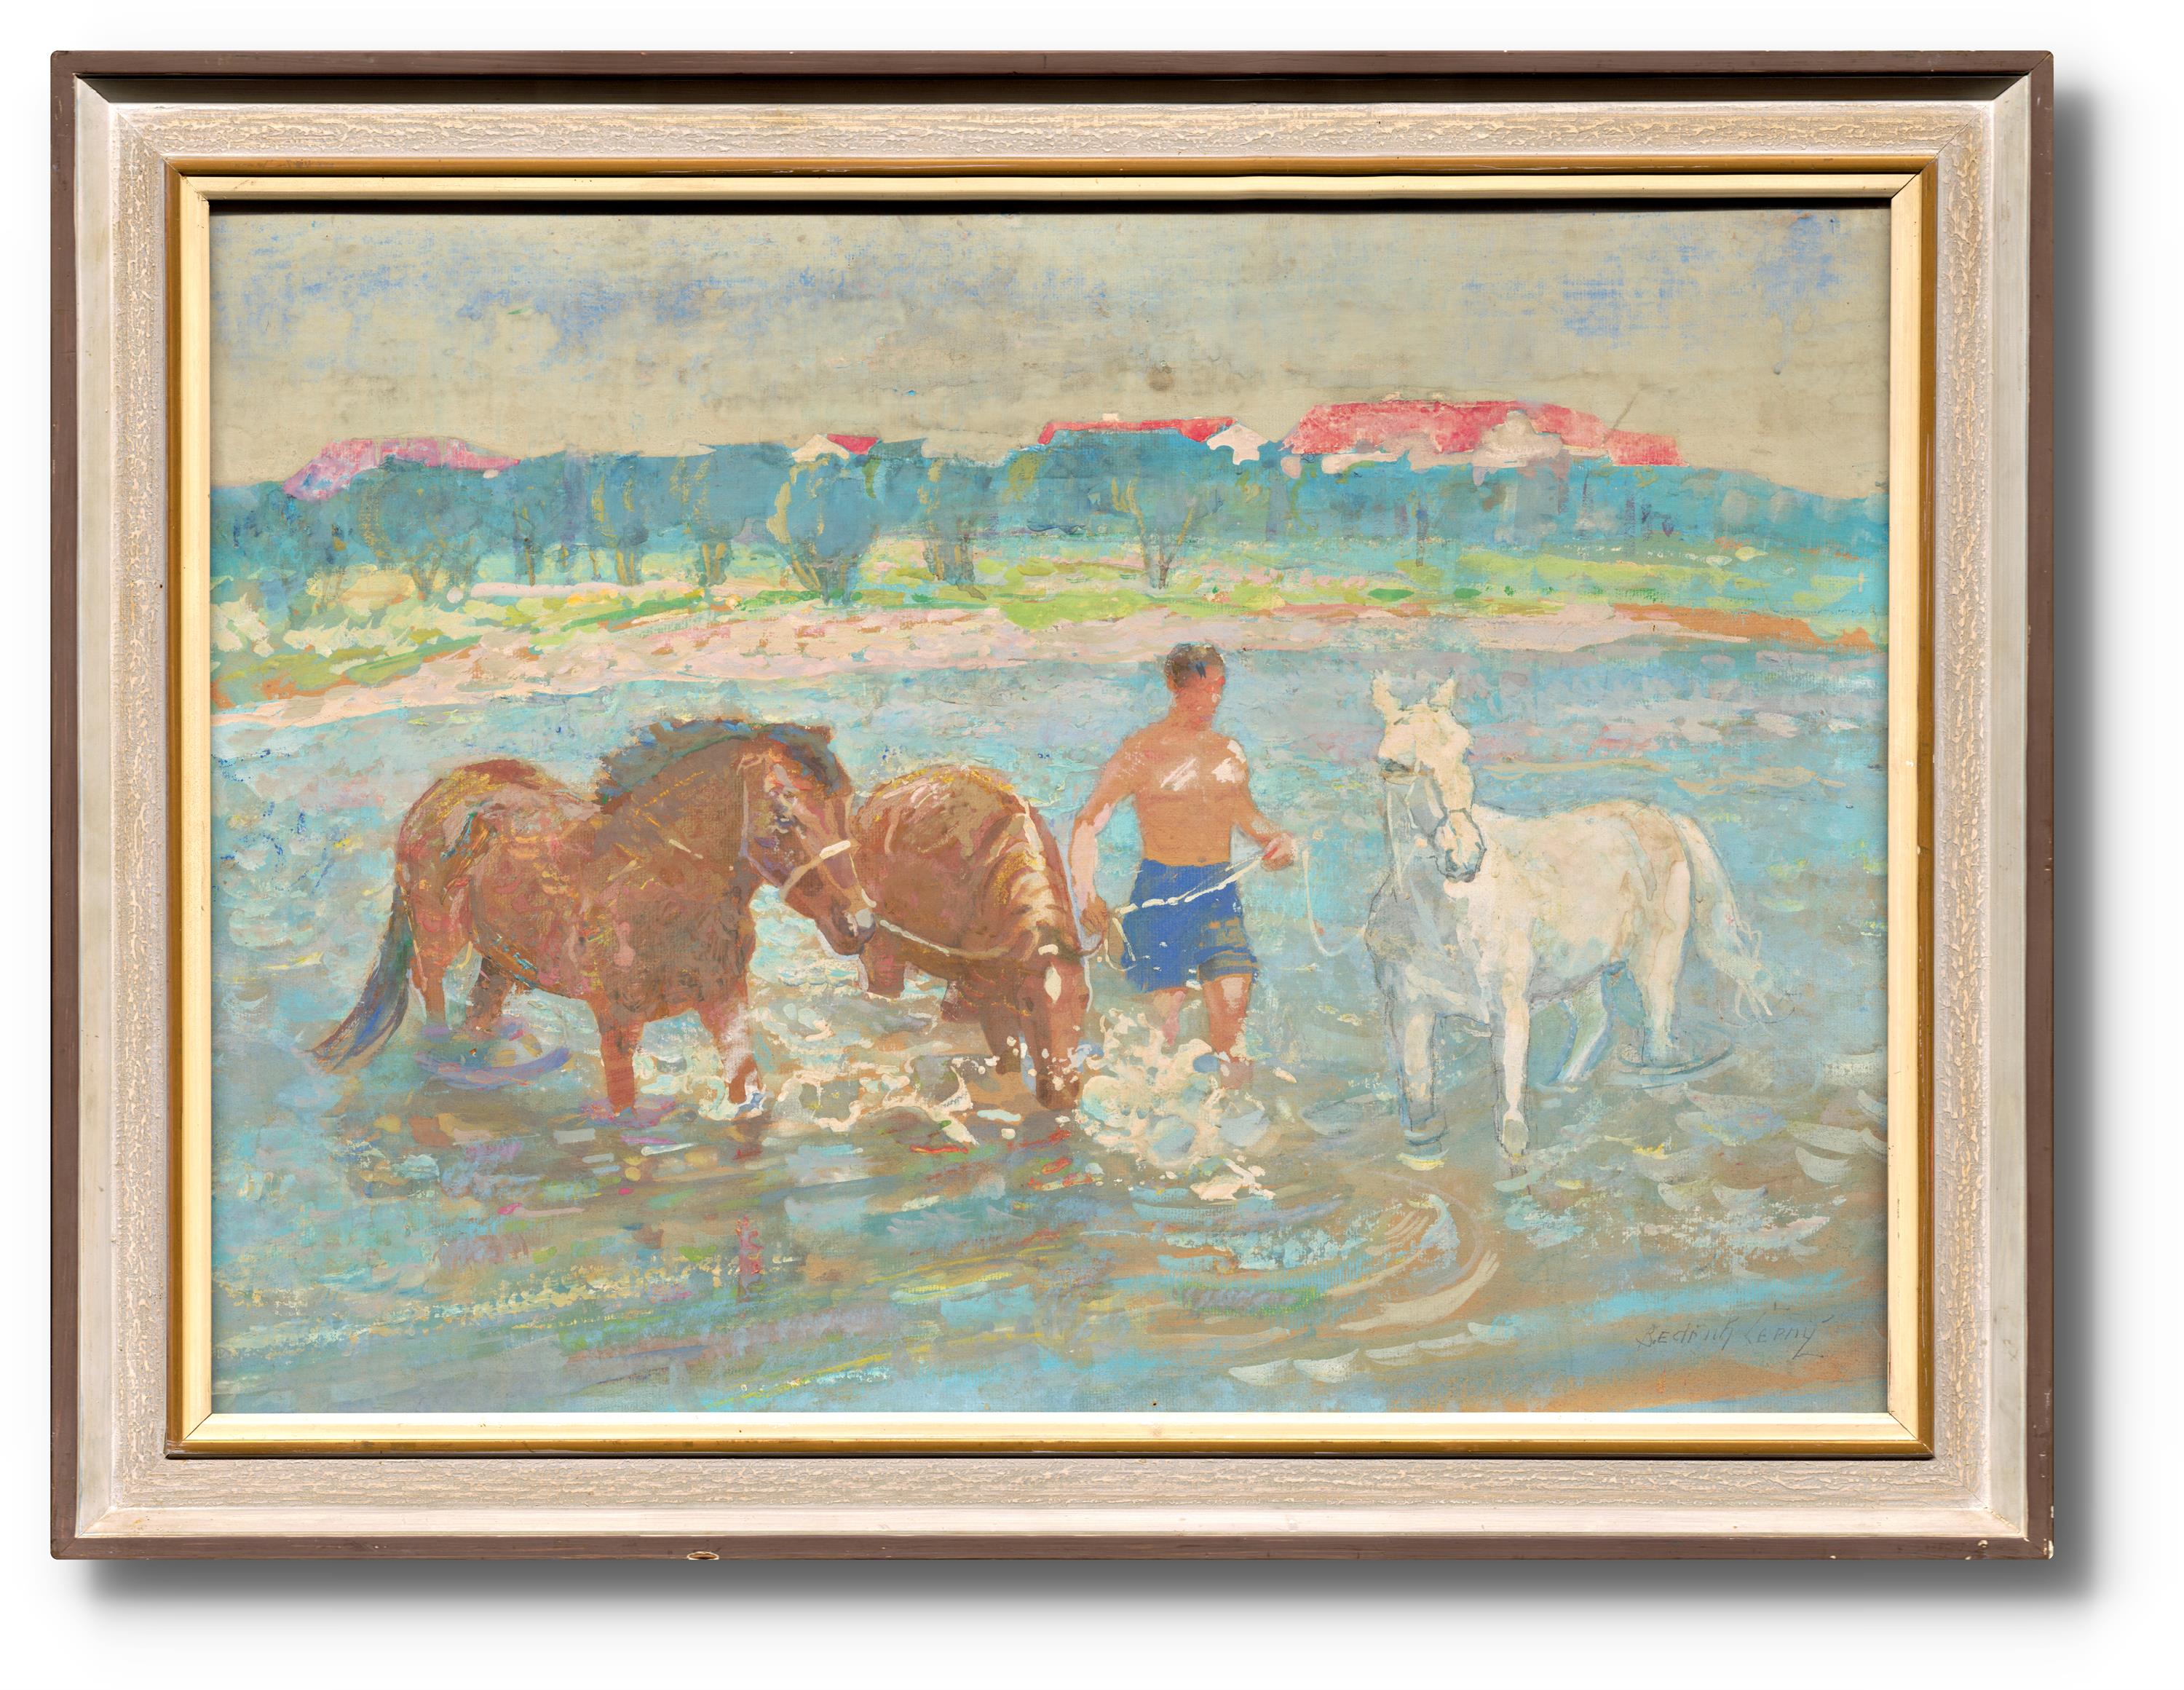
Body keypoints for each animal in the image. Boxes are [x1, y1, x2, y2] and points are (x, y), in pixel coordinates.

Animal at [311, 717, 876, 1117]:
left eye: (846, 804)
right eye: (783, 816)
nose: (861, 926)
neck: (661, 881)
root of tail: (440, 792)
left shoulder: (725, 999)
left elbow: (747, 1093)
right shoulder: (618, 1024)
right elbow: (625, 1113)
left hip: (501, 962)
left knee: (479, 1016)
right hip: (437, 948)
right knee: (433, 1006)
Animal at [851, 765, 1093, 1110]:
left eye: (1084, 997)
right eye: (1029, 1002)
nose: (1062, 1093)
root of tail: (878, 796)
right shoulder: (991, 998)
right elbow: (1007, 1057)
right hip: (884, 936)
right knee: (880, 973)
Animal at [1362, 675, 1770, 1165]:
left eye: (1463, 749)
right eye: (1395, 763)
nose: (1464, 856)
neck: (1438, 916)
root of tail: (1663, 816)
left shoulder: (1509, 1012)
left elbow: (1511, 1118)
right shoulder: (1409, 1012)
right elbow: (1421, 1107)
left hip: (1656, 964)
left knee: (1656, 1039)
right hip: (1579, 977)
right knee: (1596, 1024)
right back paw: (1565, 1087)